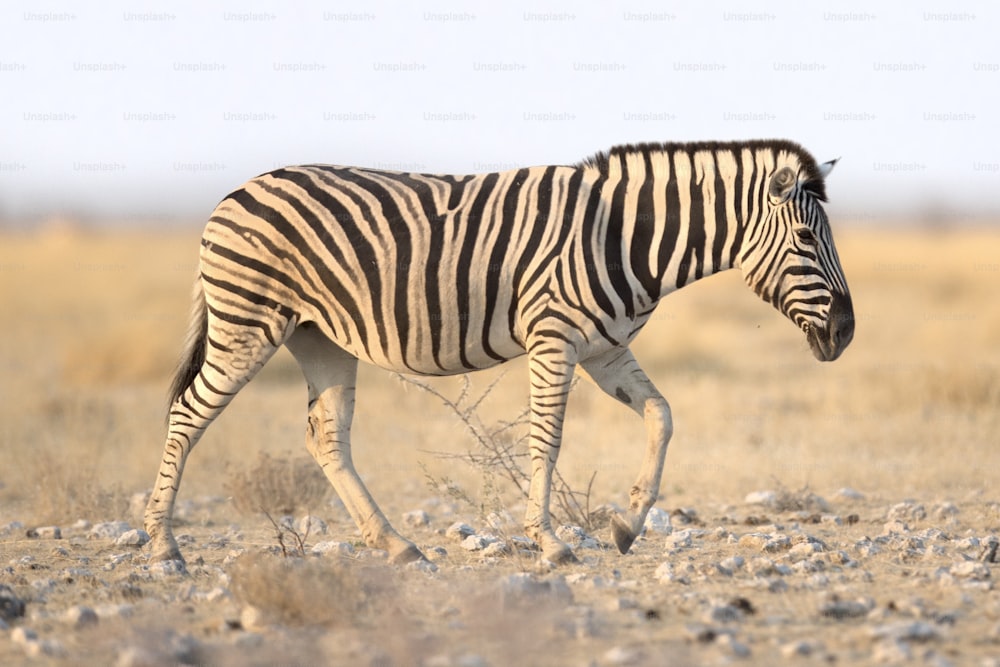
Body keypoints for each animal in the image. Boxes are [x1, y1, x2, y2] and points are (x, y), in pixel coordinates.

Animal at [145, 138, 856, 568]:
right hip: (248, 323)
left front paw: (626, 526)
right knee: (186, 414)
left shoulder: (605, 348)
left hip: (318, 335)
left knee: (326, 435)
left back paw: (396, 545)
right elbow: (547, 438)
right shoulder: (555, 337)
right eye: (804, 238)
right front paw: (550, 543)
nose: (847, 332)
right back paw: (163, 547)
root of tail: (234, 193)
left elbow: (662, 416)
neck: (624, 237)